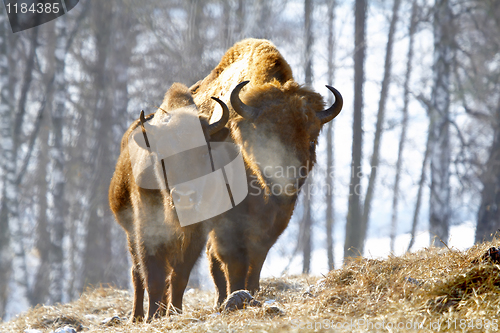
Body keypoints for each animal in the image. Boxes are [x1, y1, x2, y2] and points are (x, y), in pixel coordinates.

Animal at [109, 82, 230, 320]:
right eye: (163, 155)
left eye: (204, 152)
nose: (184, 196)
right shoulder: (147, 231)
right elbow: (153, 277)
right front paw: (151, 317)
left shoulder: (195, 235)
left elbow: (179, 277)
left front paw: (174, 312)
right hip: (130, 233)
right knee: (136, 273)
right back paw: (137, 316)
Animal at [189, 39, 342, 306]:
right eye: (265, 136)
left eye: (312, 139)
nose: (289, 178)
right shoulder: (226, 220)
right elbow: (233, 258)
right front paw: (237, 293)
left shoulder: (276, 218)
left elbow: (258, 254)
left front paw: (251, 291)